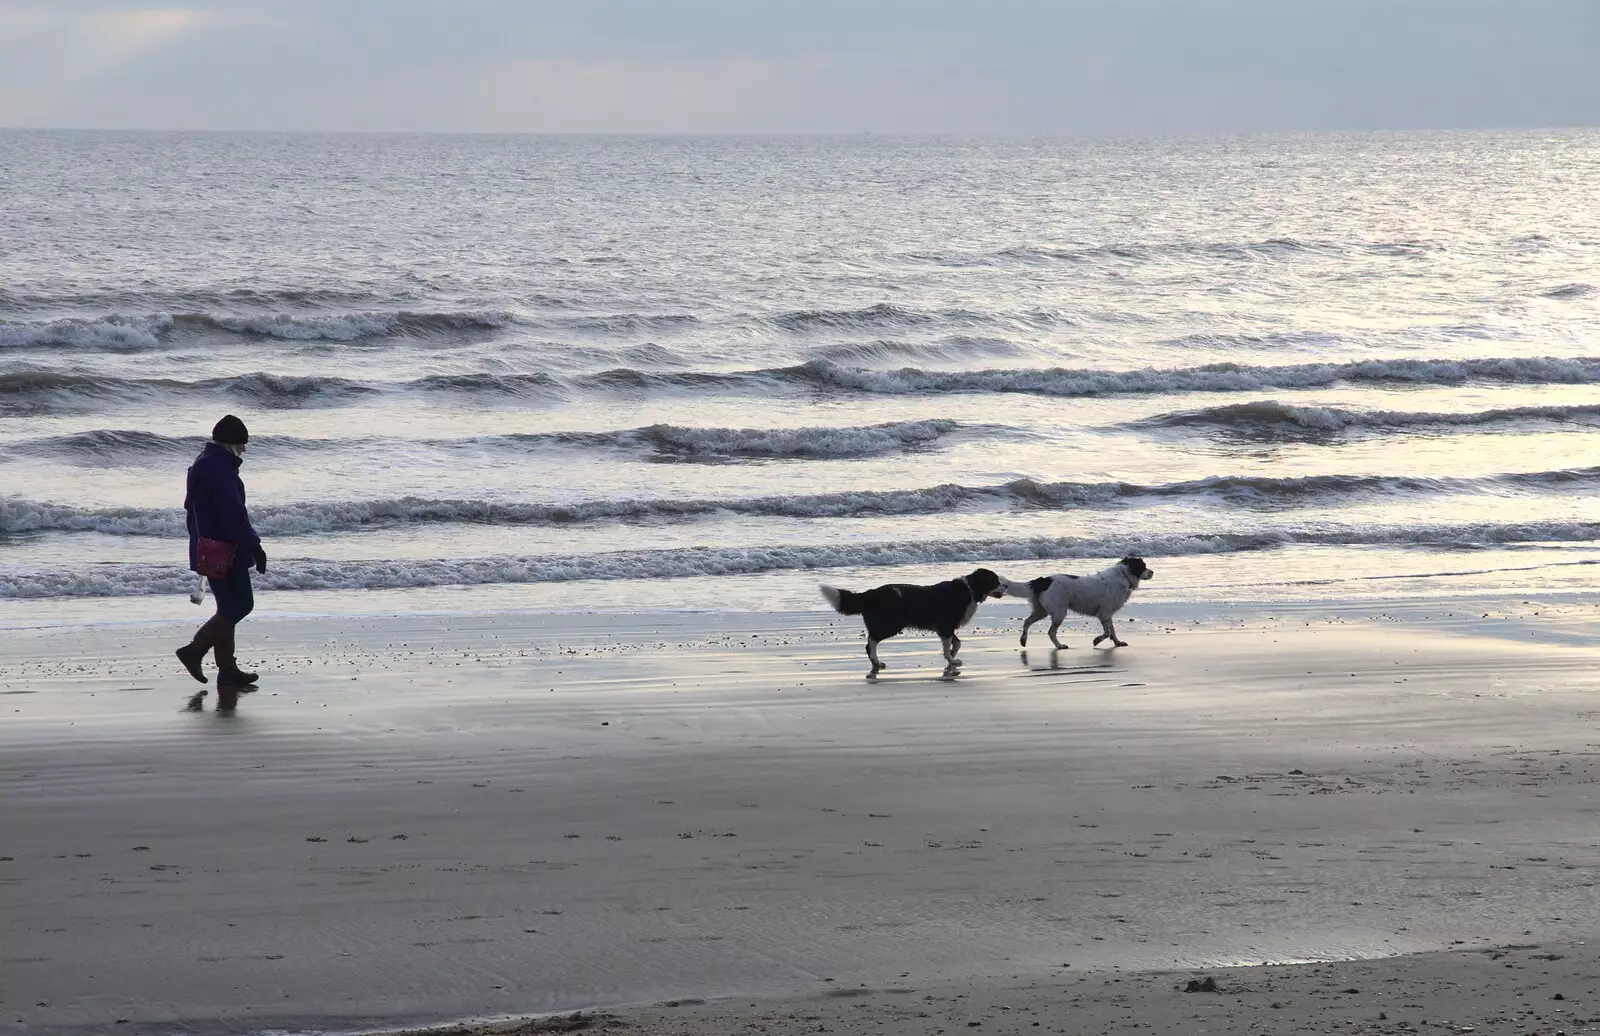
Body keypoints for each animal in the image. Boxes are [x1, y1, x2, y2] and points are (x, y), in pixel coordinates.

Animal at [819, 569, 1004, 674]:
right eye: (995, 580)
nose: (1007, 586)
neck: (971, 588)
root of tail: (872, 593)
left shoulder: (946, 627)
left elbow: (957, 643)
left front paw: (952, 656)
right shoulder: (946, 625)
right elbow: (949, 645)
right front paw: (951, 659)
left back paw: (875, 663)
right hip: (890, 624)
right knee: (871, 643)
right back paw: (877, 662)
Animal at [998, 559, 1152, 645]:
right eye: (1143, 566)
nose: (1153, 572)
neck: (1124, 575)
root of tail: (1044, 580)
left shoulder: (1107, 615)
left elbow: (1112, 631)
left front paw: (1118, 643)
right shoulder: (1104, 613)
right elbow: (1108, 632)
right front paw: (1096, 641)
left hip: (1042, 610)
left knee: (1027, 622)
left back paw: (1023, 640)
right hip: (1059, 613)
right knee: (1051, 632)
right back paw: (1059, 645)